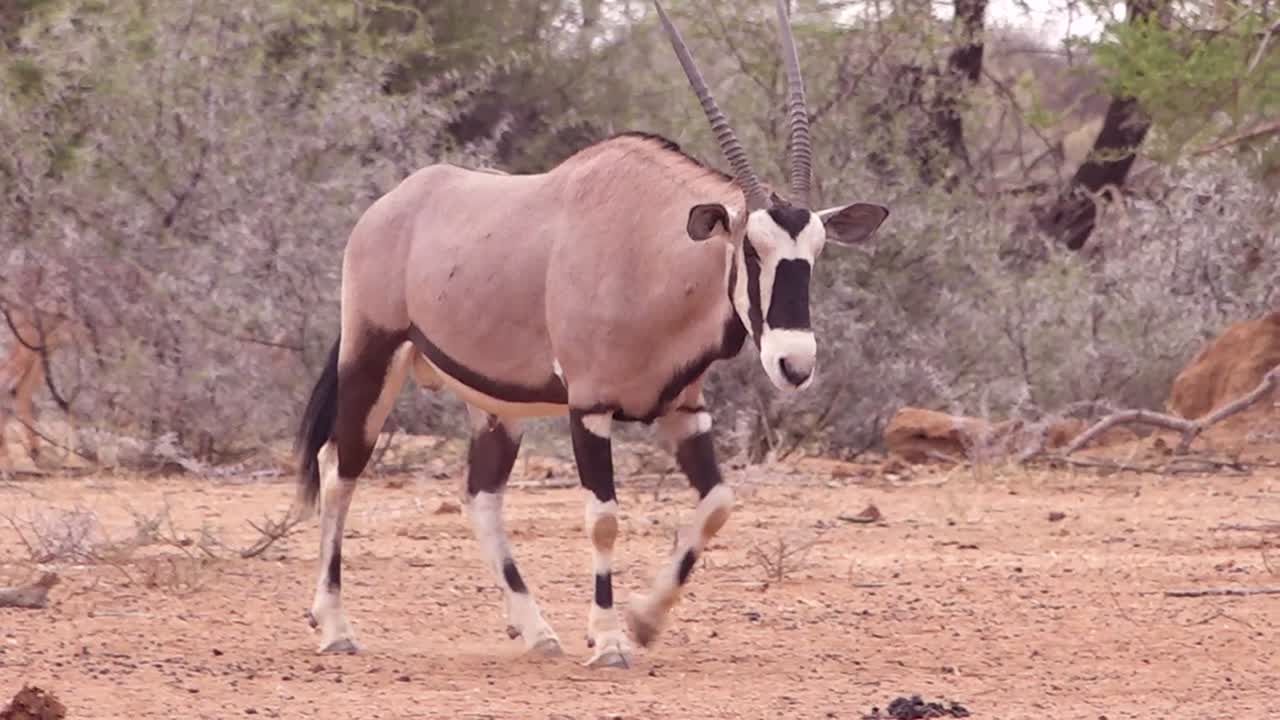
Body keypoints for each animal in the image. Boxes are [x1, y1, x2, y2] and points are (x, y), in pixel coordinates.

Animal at [293, 0, 889, 668]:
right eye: (750, 249)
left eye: (816, 250)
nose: (795, 363)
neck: (649, 251)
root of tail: (389, 206)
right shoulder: (590, 407)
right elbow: (604, 518)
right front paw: (607, 640)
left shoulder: (683, 410)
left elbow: (717, 503)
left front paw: (644, 620)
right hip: (372, 360)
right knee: (339, 471)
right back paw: (335, 626)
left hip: (496, 406)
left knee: (480, 495)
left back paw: (536, 631)